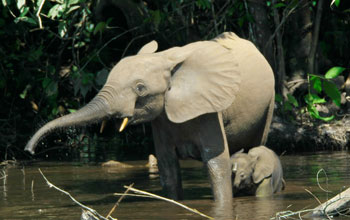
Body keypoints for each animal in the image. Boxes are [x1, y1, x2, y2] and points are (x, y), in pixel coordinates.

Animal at [26, 32, 274, 206]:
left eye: (140, 88)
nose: (29, 150)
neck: (165, 59)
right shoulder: (162, 118)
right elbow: (167, 167)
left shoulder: (209, 110)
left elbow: (216, 164)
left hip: (269, 104)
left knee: (255, 146)